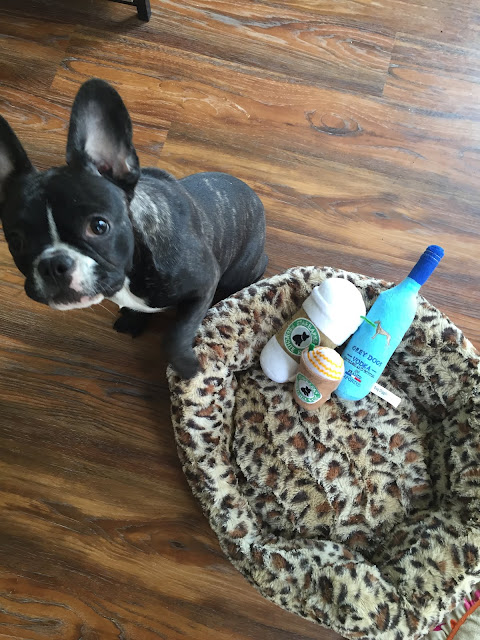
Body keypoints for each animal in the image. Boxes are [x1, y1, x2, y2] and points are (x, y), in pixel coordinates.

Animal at [0, 79, 267, 378]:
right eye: (16, 241)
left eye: (99, 226)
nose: (53, 265)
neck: (133, 267)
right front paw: (134, 318)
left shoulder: (204, 283)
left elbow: (176, 335)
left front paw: (187, 367)